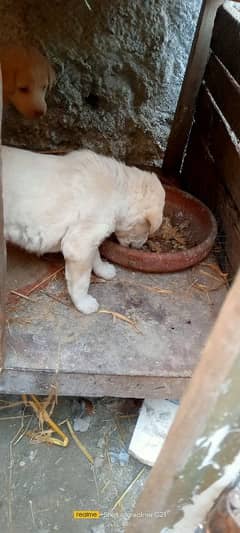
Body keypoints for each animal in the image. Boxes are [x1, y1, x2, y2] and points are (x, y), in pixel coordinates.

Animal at [1, 145, 166, 312]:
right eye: (147, 229)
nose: (141, 246)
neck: (118, 191)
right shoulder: (78, 245)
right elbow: (81, 281)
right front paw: (84, 304)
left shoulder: (89, 236)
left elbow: (96, 255)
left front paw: (103, 270)